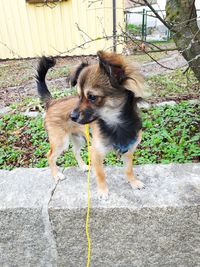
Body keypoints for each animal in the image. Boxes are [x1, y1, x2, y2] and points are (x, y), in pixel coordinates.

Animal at [36, 50, 145, 199]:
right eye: (79, 97)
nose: (72, 116)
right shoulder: (96, 152)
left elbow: (129, 169)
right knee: (50, 156)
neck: (117, 125)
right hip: (60, 141)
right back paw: (56, 175)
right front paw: (103, 191)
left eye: (92, 97)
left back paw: (82, 167)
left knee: (74, 151)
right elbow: (101, 174)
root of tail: (52, 102)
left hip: (79, 139)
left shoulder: (129, 150)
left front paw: (133, 182)